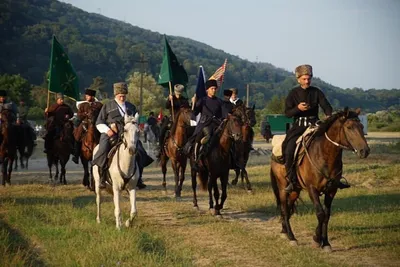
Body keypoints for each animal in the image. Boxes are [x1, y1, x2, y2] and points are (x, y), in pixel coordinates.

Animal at [270, 108, 370, 252]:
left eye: (362, 126)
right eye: (349, 127)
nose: (365, 151)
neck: (324, 154)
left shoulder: (331, 190)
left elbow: (326, 215)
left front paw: (325, 242)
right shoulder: (313, 189)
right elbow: (320, 213)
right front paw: (317, 240)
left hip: (295, 190)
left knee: (288, 208)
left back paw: (285, 231)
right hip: (283, 187)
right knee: (284, 207)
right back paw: (291, 237)